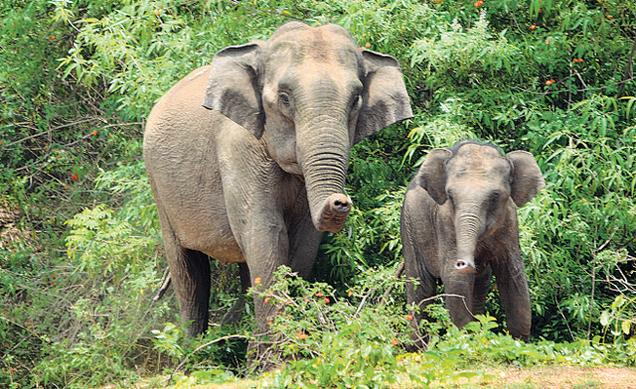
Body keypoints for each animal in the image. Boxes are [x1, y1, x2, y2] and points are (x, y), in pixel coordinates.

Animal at [143, 21, 412, 336]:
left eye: (356, 100)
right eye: (284, 98)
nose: (341, 201)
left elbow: (303, 241)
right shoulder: (239, 151)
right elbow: (265, 232)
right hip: (159, 186)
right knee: (187, 269)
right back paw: (194, 345)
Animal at [402, 141, 540, 342]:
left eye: (495, 196)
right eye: (450, 196)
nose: (465, 262)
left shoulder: (510, 221)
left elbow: (512, 275)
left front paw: (518, 342)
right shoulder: (446, 222)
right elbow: (455, 278)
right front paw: (464, 340)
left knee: (479, 285)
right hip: (410, 226)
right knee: (421, 286)